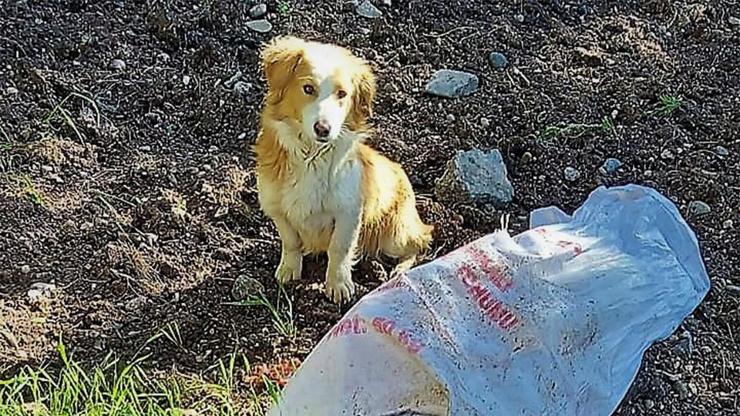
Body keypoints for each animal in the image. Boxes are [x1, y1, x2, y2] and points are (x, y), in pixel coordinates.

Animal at [254, 37, 434, 304]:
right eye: (308, 88)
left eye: (342, 94)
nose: (323, 128)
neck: (312, 155)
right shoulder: (276, 208)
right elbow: (291, 241)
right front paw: (289, 269)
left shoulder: (348, 212)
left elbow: (339, 249)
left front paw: (338, 285)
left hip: (394, 235)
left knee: (421, 242)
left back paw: (400, 271)